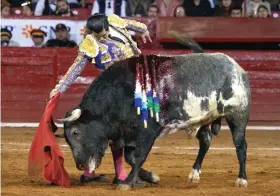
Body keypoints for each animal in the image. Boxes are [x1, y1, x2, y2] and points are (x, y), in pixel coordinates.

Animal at [58, 39, 249, 190]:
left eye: (76, 132)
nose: (80, 164)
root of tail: (237, 68)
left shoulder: (148, 131)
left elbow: (139, 156)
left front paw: (127, 182)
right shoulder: (128, 133)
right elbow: (129, 158)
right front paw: (150, 177)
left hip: (237, 115)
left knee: (240, 146)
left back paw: (241, 179)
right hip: (203, 119)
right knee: (205, 141)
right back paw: (194, 174)